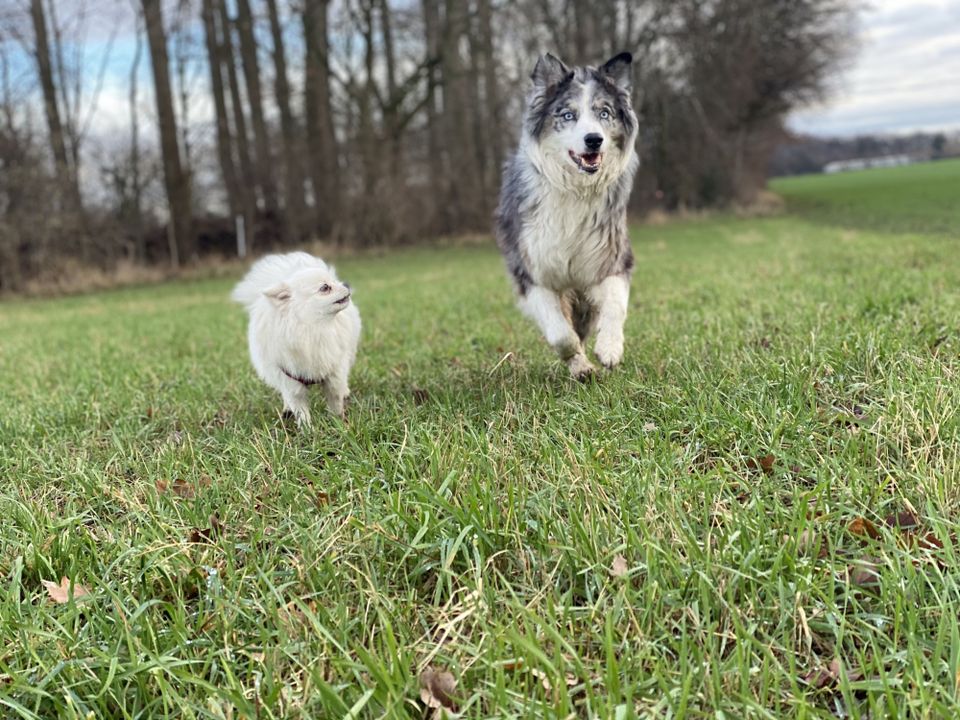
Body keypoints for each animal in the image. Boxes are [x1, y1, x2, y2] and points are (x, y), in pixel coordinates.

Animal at [232, 252, 360, 424]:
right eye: (325, 287)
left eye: (335, 281)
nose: (346, 283)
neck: (315, 330)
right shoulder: (291, 382)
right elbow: (300, 410)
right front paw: (307, 429)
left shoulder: (334, 372)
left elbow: (335, 400)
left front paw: (337, 421)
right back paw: (286, 409)